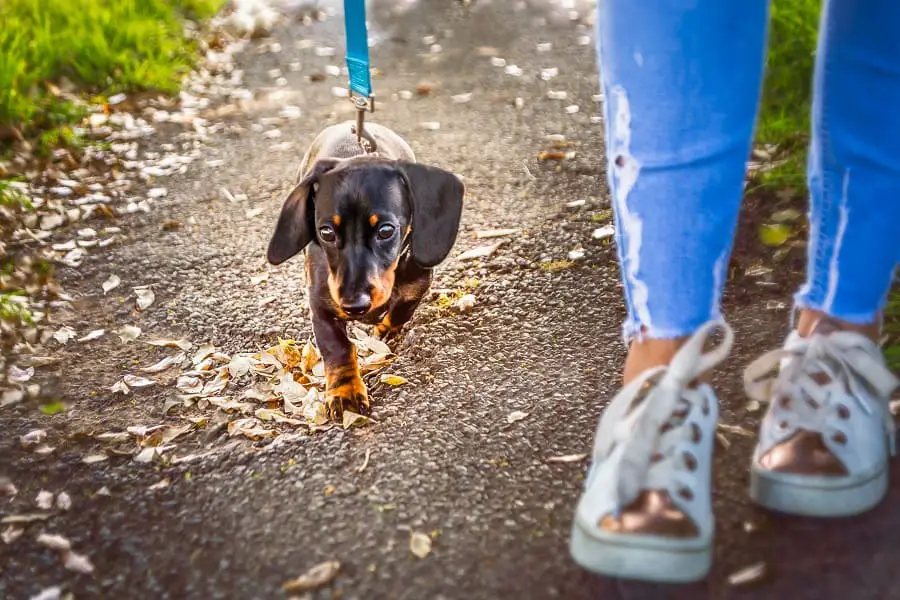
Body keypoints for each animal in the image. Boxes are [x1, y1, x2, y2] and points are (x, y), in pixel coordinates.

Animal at [266, 120, 464, 422]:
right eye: (326, 232)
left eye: (386, 230)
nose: (354, 305)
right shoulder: (321, 305)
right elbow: (337, 347)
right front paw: (345, 392)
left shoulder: (418, 283)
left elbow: (403, 307)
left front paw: (384, 330)